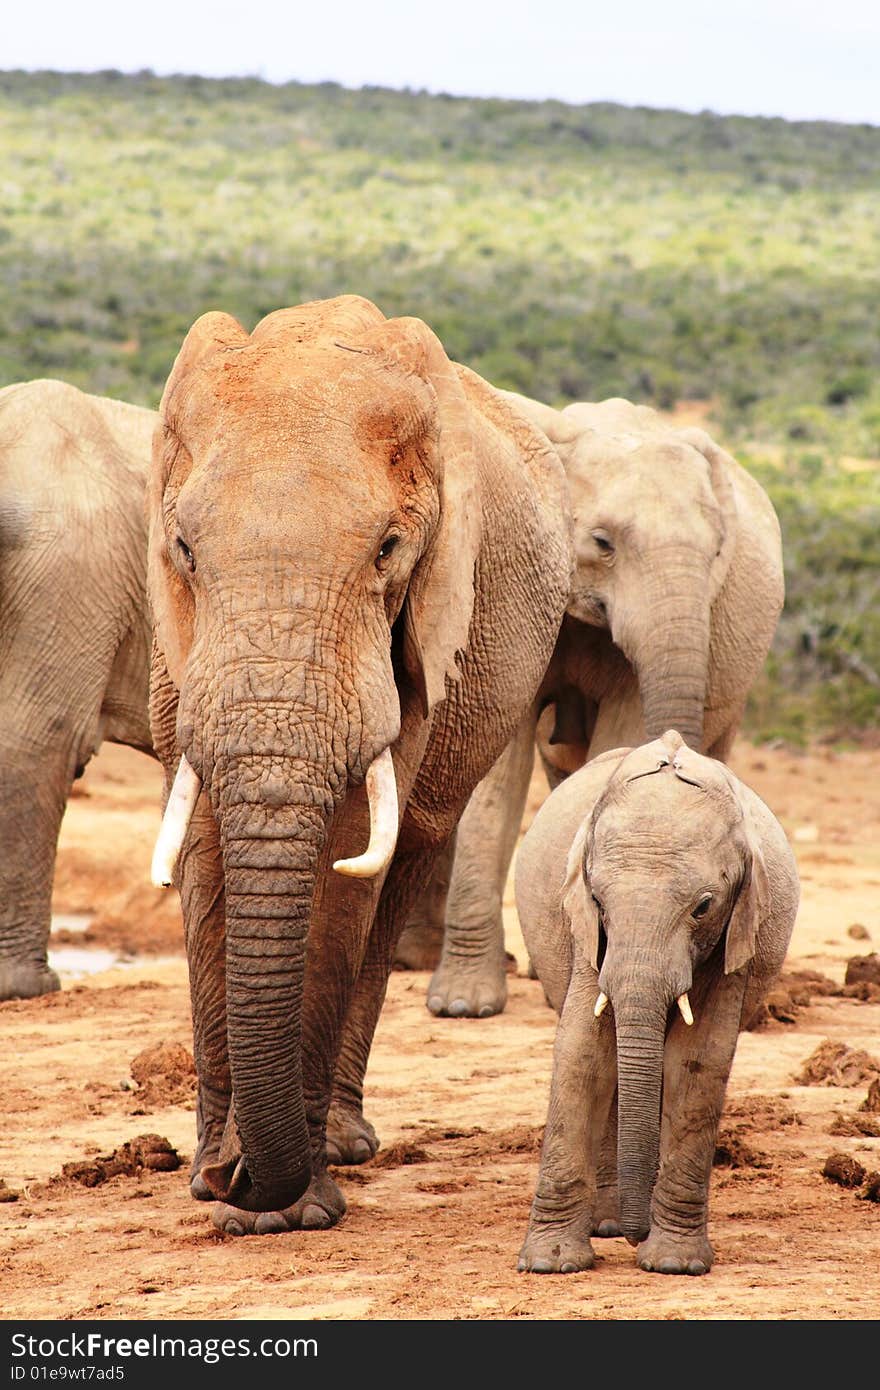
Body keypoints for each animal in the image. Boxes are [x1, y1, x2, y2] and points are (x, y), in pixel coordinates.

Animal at [514, 733, 795, 1273]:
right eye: (598, 902)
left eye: (703, 907)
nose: (634, 1233)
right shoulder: (589, 939)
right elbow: (583, 1054)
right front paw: (550, 1264)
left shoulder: (734, 934)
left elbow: (697, 1061)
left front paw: (673, 1264)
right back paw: (604, 1224)